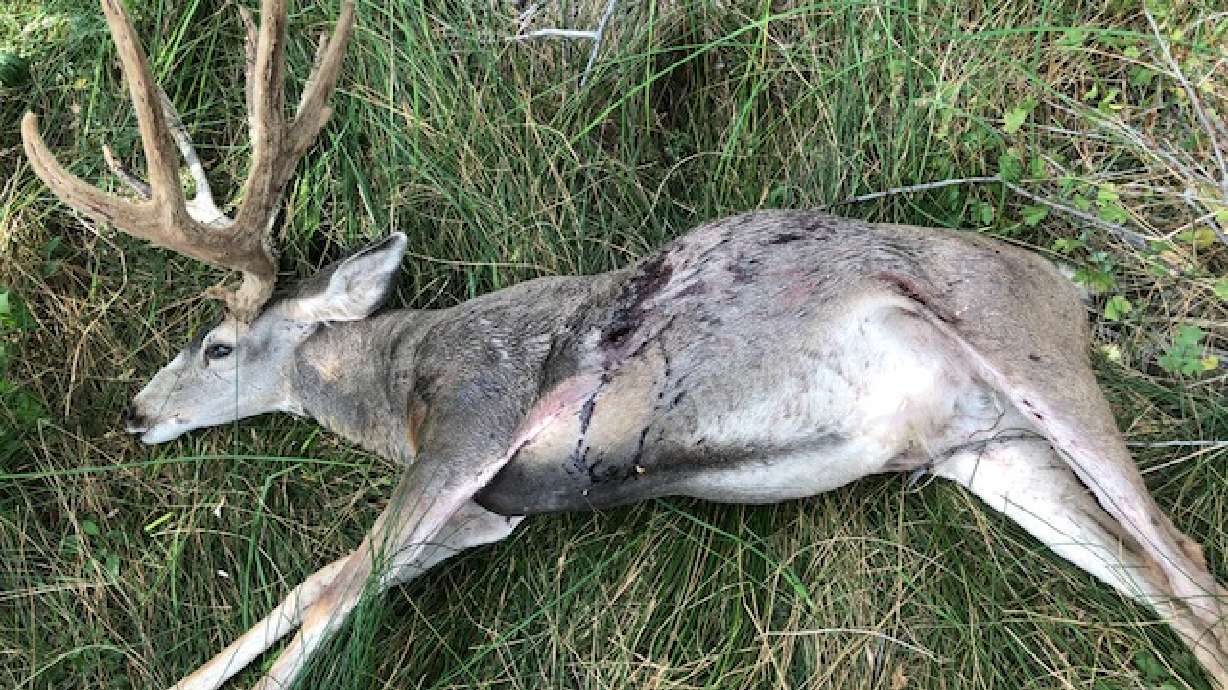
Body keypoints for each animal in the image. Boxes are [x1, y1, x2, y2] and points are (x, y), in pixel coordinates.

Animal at [19, 1, 1228, 688]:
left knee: (1189, 562)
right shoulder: (484, 514)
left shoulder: (474, 424)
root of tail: (1068, 288)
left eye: (217, 345)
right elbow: (325, 586)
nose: (136, 412)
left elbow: (329, 590)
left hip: (1025, 352)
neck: (397, 380)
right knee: (1168, 588)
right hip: (991, 452)